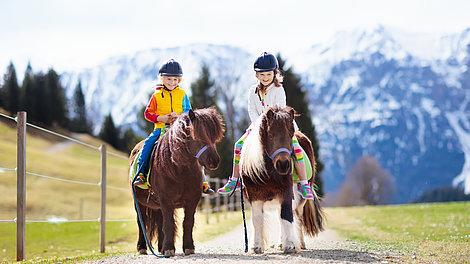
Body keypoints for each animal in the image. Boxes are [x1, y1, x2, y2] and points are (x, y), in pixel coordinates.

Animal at [127, 106, 225, 256]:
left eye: (214, 137)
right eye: (197, 135)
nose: (214, 161)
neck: (179, 170)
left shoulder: (192, 200)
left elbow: (187, 222)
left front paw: (188, 247)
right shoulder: (166, 200)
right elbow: (169, 223)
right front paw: (169, 248)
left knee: (160, 221)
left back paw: (161, 248)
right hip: (139, 202)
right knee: (141, 221)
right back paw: (142, 247)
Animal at [241, 105, 324, 254]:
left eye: (291, 135)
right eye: (271, 134)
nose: (283, 164)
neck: (268, 173)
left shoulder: (286, 193)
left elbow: (286, 217)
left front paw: (289, 245)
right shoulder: (255, 195)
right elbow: (257, 220)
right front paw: (257, 246)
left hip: (300, 199)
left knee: (296, 216)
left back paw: (299, 243)